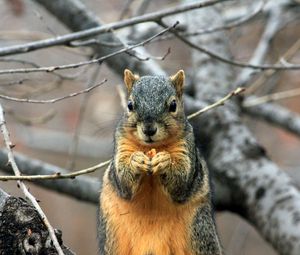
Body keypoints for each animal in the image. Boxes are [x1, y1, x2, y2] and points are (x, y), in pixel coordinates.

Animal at [97, 69, 221, 255]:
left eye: (173, 105)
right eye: (130, 105)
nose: (149, 129)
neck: (151, 147)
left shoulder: (186, 149)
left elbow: (181, 182)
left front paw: (165, 161)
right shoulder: (121, 145)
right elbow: (123, 182)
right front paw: (136, 161)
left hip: (199, 231)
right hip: (111, 237)